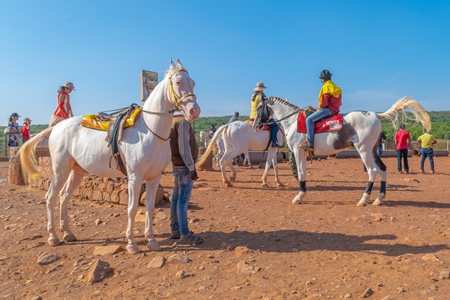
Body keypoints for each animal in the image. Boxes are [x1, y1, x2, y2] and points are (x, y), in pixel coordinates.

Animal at [18, 58, 200, 253]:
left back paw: (68, 233)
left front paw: (151, 240)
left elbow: (150, 209)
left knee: (64, 197)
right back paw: (53, 236)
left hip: (77, 171)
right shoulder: (135, 177)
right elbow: (132, 209)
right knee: (51, 197)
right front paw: (131, 243)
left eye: (193, 83)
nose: (194, 111)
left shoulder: (154, 178)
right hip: (60, 170)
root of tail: (57, 127)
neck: (151, 131)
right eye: (178, 82)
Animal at [255, 96, 430, 206]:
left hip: (364, 150)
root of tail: (375, 115)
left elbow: (301, 173)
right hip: (373, 150)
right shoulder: (302, 154)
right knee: (383, 169)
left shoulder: (299, 152)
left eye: (259, 108)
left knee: (372, 171)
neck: (292, 121)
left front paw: (299, 196)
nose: (256, 125)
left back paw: (364, 199)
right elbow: (302, 173)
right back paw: (379, 199)